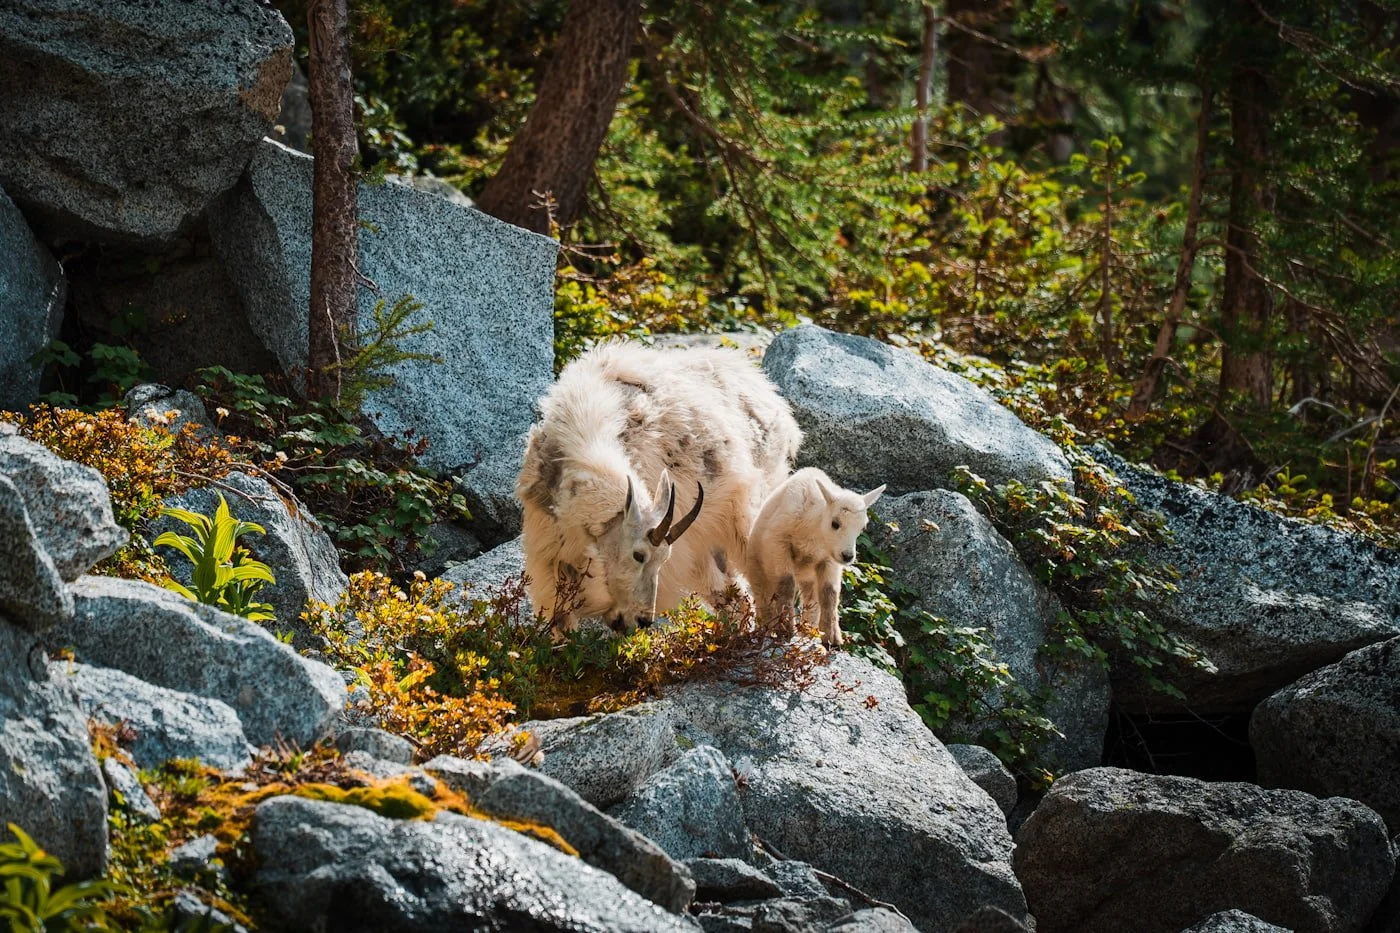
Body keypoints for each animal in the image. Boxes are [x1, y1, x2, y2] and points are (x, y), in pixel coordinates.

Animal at [516, 340, 801, 636]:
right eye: (638, 555)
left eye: (661, 560)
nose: (642, 620)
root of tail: (773, 400)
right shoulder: (551, 551)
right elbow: (560, 619)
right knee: (732, 594)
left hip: (748, 509)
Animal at [745, 467, 885, 646]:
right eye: (835, 523)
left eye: (862, 527)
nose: (847, 556)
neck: (813, 529)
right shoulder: (777, 545)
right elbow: (786, 585)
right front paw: (785, 630)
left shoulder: (829, 559)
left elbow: (829, 593)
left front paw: (832, 637)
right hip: (757, 566)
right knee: (763, 595)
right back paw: (766, 629)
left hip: (808, 575)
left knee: (811, 598)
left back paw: (809, 631)